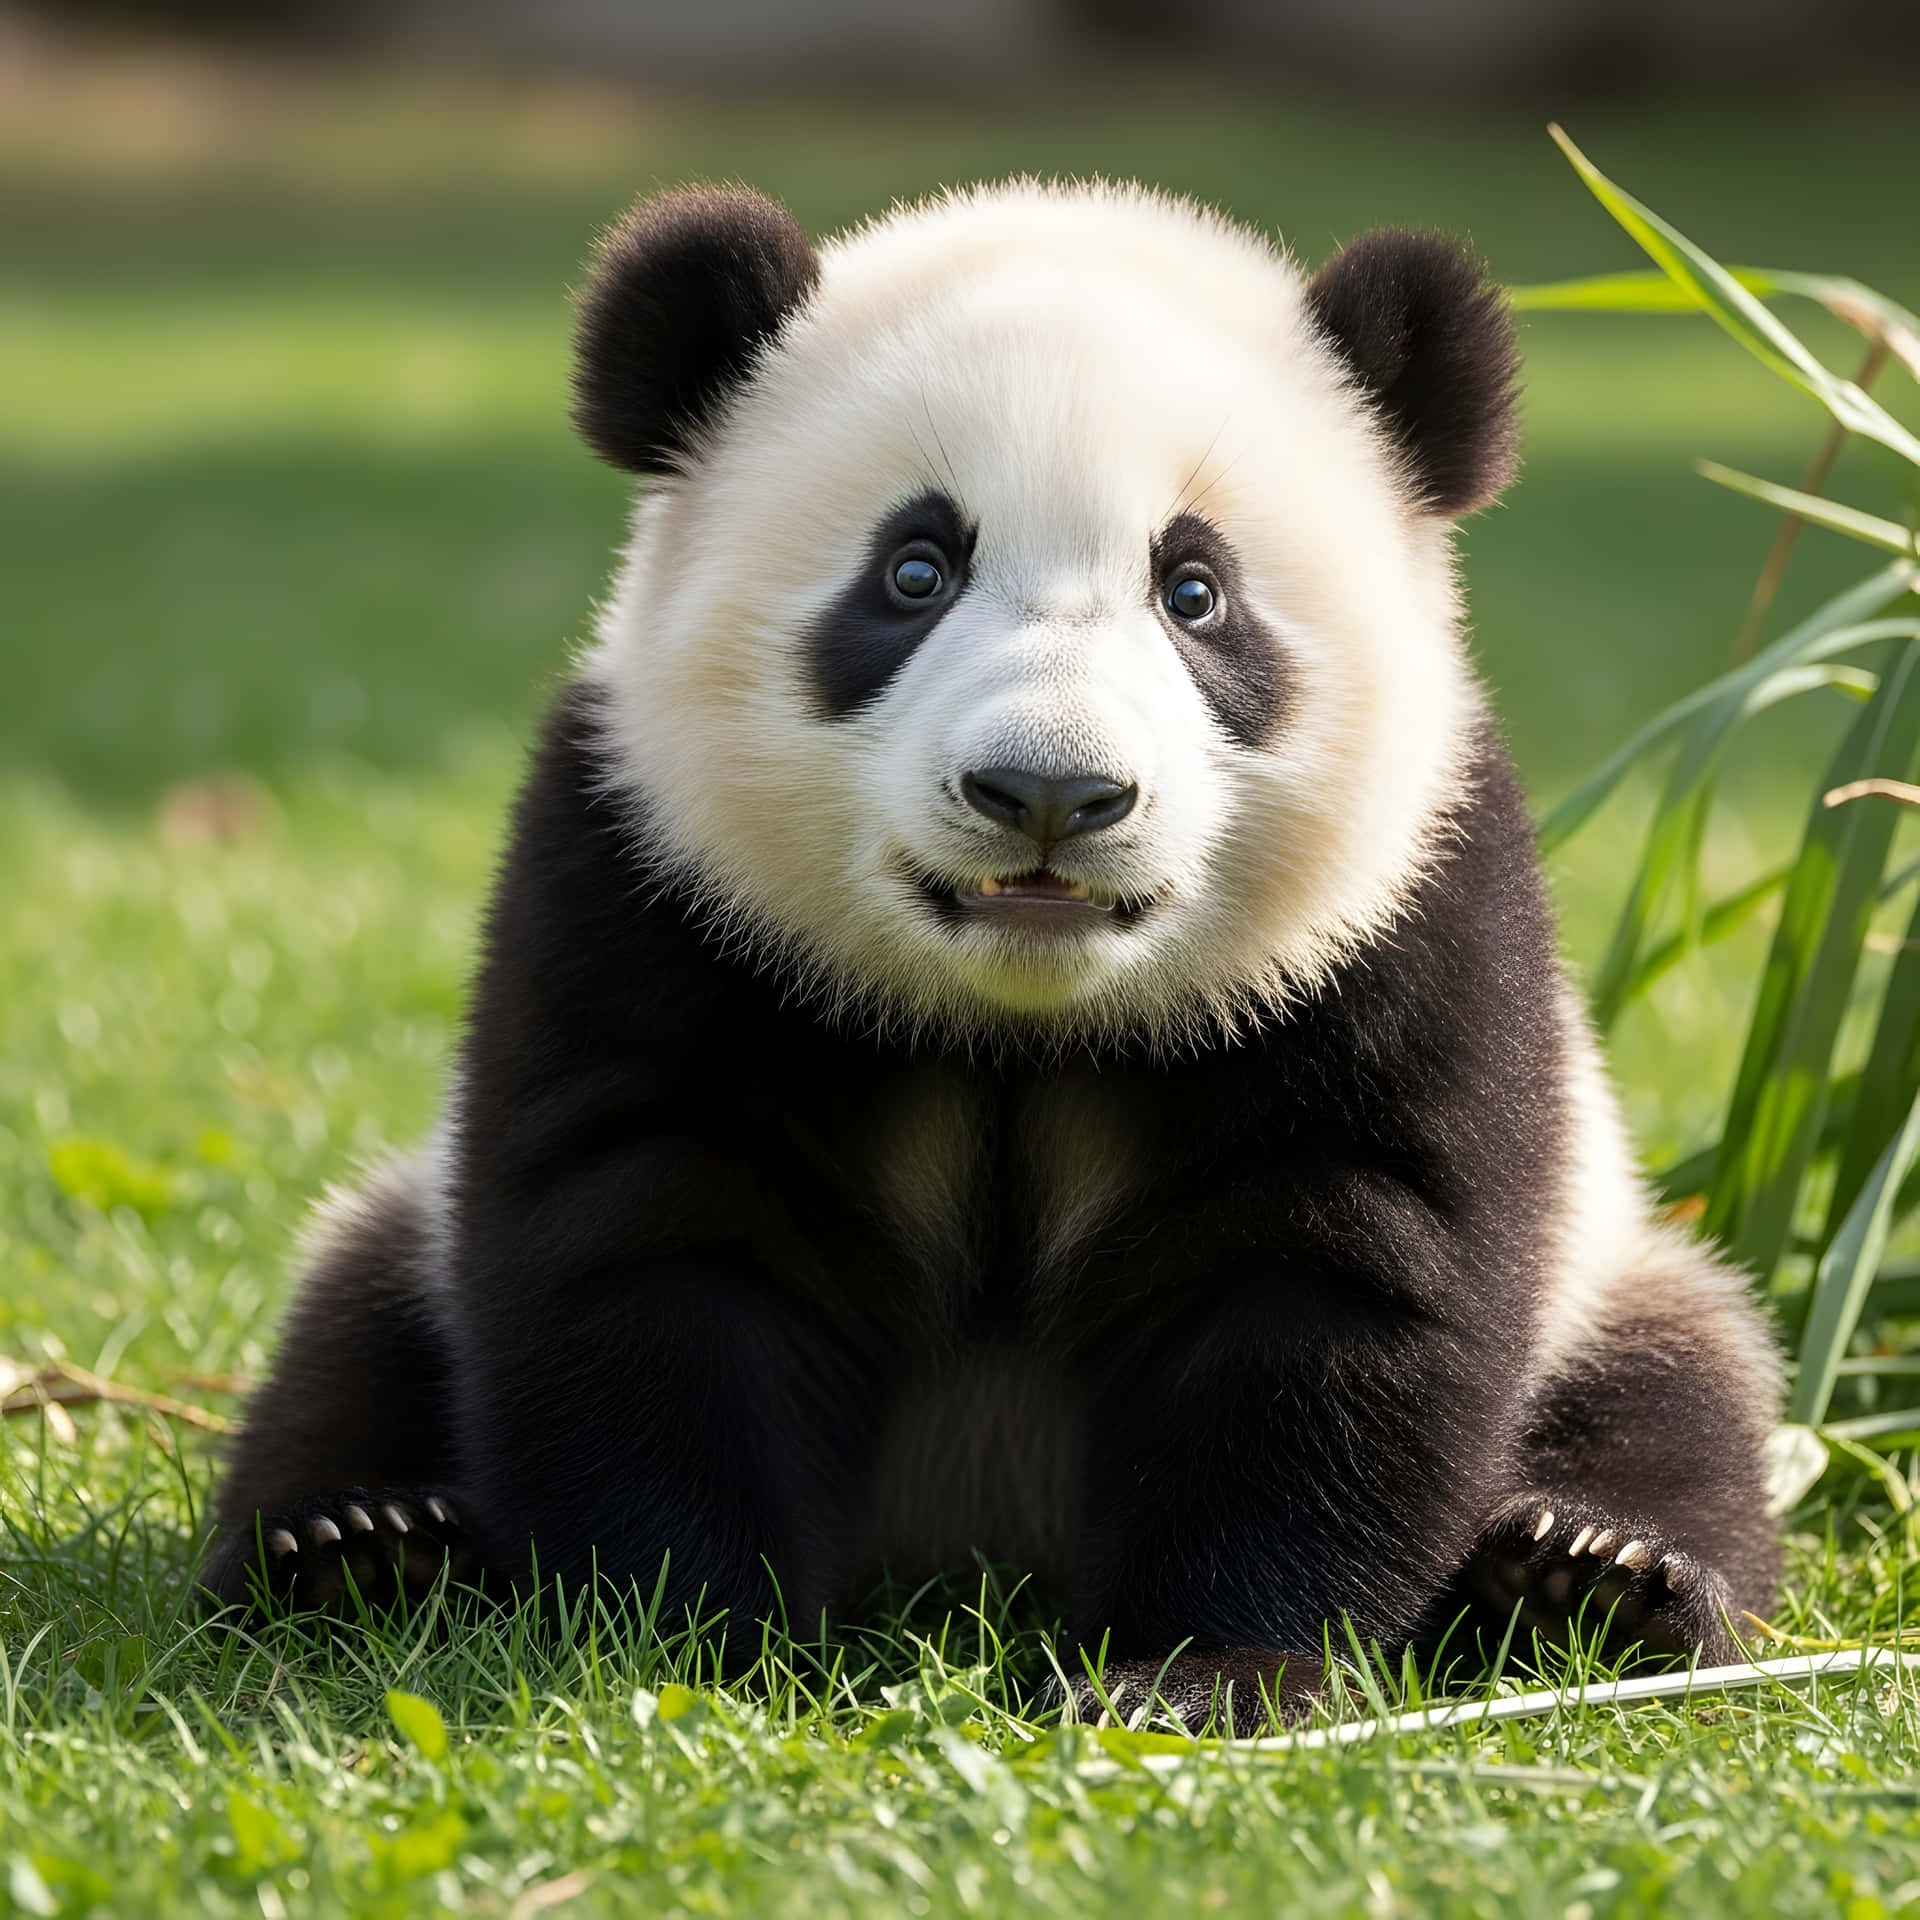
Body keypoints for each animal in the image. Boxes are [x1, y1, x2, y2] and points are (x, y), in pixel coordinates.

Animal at [202, 178, 1782, 1728]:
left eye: (1194, 592)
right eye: (913, 571)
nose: (1049, 795)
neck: (1021, 1021)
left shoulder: (1404, 921)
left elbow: (1337, 1281)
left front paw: (1193, 1674)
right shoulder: (646, 886)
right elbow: (650, 1242)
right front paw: (694, 1644)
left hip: (1618, 1260)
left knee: (1683, 1390)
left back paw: (1592, 1571)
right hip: (406, 1226)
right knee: (353, 1323)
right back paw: (366, 1544)